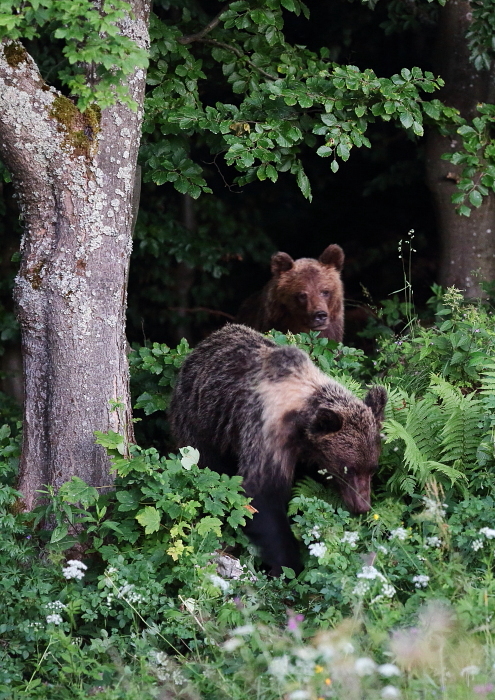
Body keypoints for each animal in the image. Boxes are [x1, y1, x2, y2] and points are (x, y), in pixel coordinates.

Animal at [170, 322, 388, 576]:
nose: (362, 506)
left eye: (372, 468)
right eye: (348, 469)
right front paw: (287, 564)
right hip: (200, 426)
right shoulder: (265, 432)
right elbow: (260, 495)